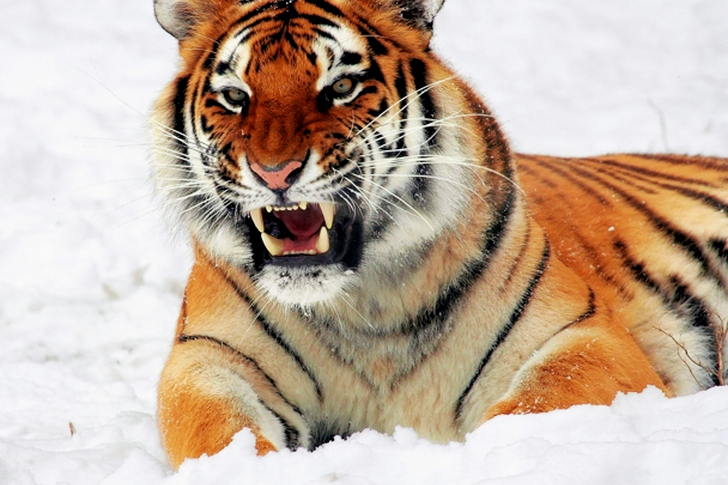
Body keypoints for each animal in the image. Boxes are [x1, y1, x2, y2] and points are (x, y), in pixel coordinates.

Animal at [149, 0, 728, 470]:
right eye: (235, 96)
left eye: (341, 88)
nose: (275, 172)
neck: (365, 307)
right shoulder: (208, 357)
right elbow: (217, 432)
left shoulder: (584, 334)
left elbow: (536, 404)